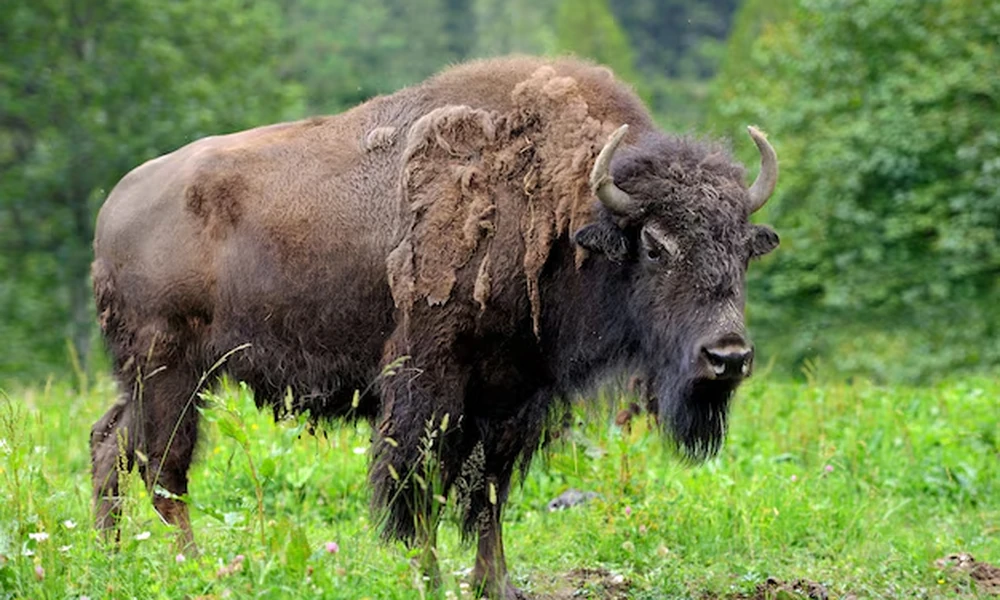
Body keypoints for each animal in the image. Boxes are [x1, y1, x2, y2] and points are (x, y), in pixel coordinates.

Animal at [90, 56, 779, 599]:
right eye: (656, 246)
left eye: (744, 248)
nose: (727, 356)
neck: (560, 211)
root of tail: (116, 203)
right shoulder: (430, 383)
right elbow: (416, 486)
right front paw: (427, 578)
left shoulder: (512, 396)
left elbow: (489, 493)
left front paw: (497, 585)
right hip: (173, 371)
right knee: (163, 468)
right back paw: (198, 571)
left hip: (151, 378)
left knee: (110, 443)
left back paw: (109, 557)